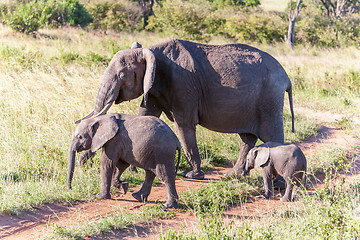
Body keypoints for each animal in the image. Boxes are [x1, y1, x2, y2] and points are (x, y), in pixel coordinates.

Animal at [77, 38, 294, 179]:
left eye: (122, 75)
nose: (81, 164)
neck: (151, 50)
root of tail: (286, 77)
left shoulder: (183, 83)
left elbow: (184, 124)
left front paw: (191, 175)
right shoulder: (154, 86)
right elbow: (146, 116)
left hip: (269, 98)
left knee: (271, 136)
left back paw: (278, 184)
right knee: (247, 138)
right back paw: (234, 176)